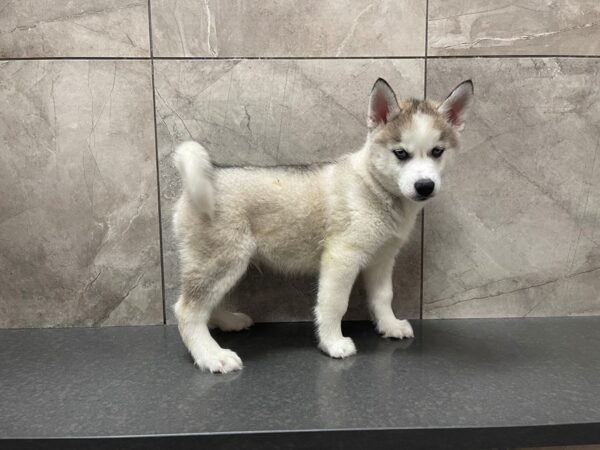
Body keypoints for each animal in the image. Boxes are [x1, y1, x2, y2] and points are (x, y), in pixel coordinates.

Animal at [172, 77, 474, 372]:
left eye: (437, 151)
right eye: (400, 153)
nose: (425, 186)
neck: (376, 188)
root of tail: (207, 177)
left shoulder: (382, 258)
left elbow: (383, 296)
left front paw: (389, 325)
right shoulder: (341, 257)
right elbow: (334, 304)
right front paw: (333, 343)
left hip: (227, 264)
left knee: (210, 303)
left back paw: (228, 322)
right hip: (221, 261)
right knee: (188, 309)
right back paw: (211, 355)